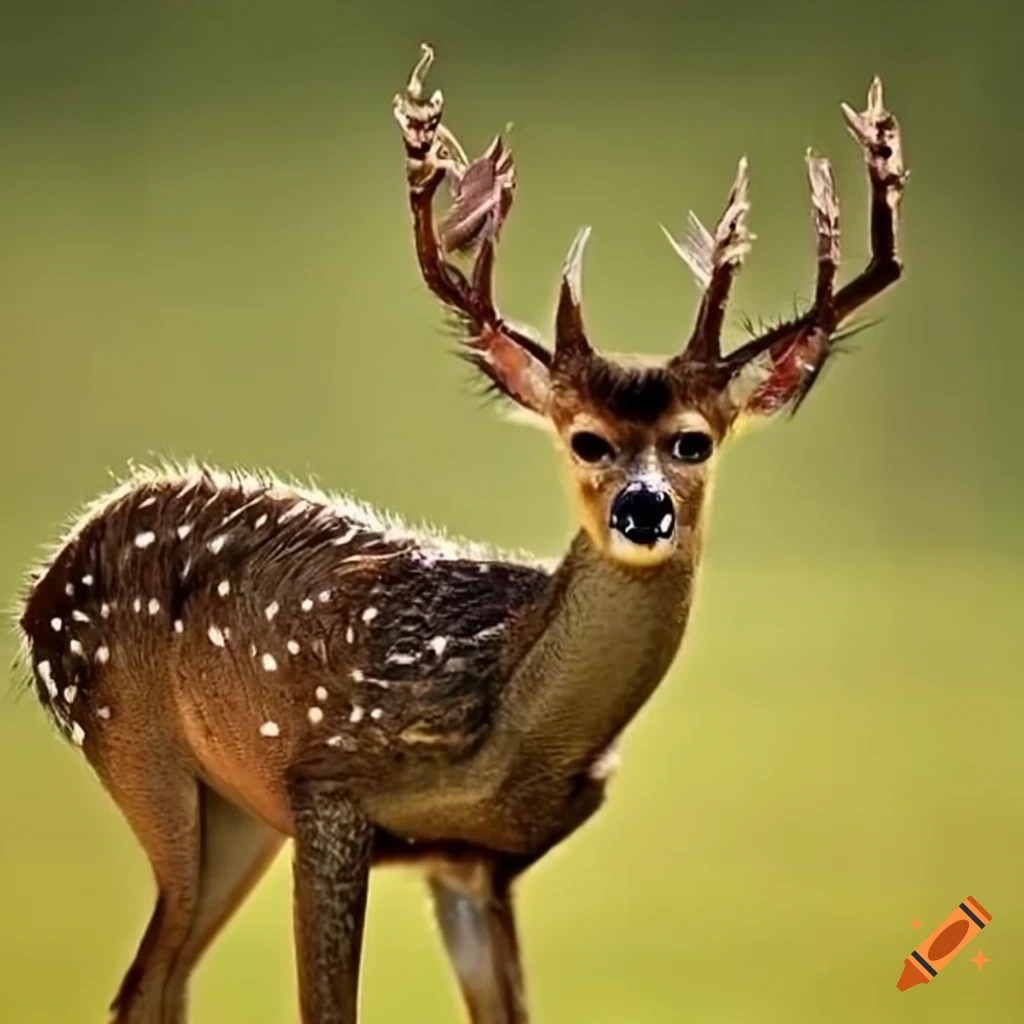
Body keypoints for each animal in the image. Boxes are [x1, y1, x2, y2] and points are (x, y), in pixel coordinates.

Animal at [14, 43, 905, 1024]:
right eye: (584, 437)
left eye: (693, 441)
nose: (643, 508)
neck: (511, 725)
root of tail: (39, 590)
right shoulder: (327, 786)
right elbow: (328, 1006)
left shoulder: (478, 860)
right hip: (138, 747)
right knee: (149, 974)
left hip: (236, 813)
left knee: (158, 981)